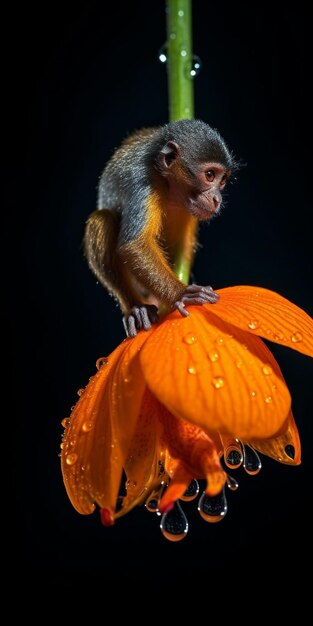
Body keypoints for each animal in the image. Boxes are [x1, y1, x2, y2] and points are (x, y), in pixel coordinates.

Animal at [83, 120, 236, 338]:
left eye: (222, 180)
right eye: (209, 175)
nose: (217, 199)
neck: (167, 184)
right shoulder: (142, 183)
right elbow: (134, 245)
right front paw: (180, 293)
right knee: (101, 219)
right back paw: (136, 308)